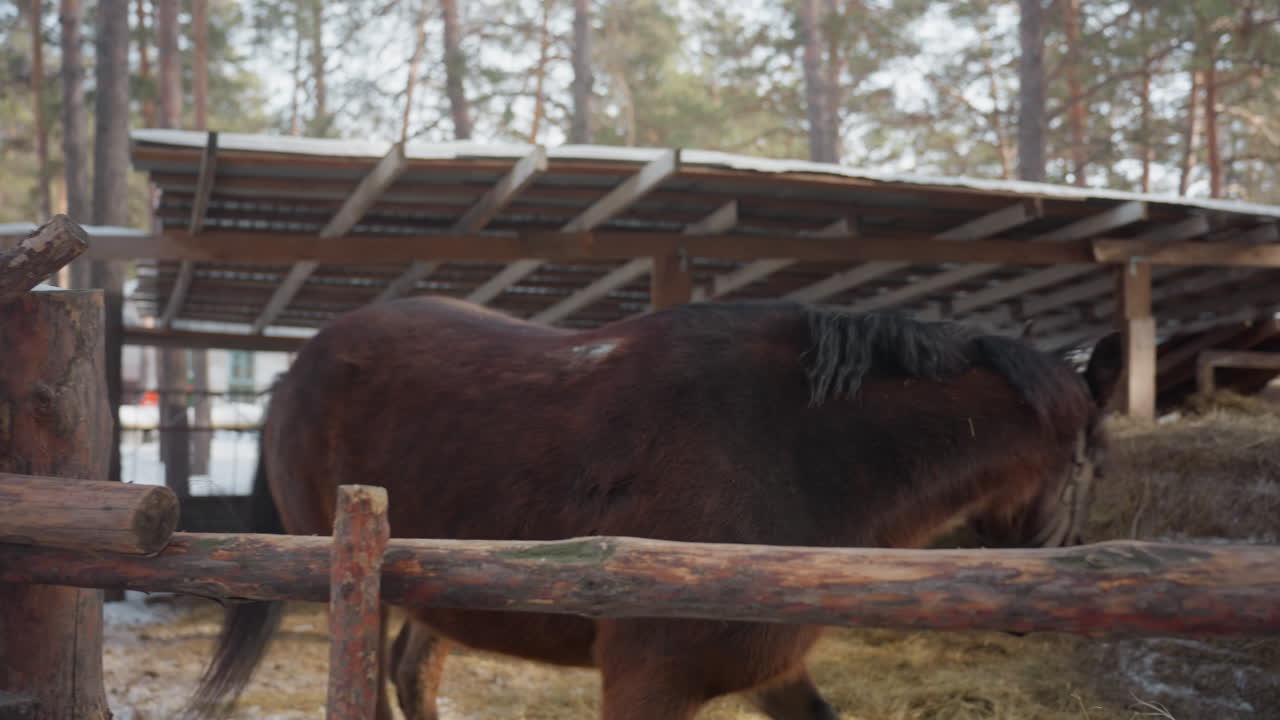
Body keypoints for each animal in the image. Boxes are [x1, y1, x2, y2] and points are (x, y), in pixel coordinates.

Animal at [185, 296, 1123, 720]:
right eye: (1103, 467)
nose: (1031, 619)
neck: (794, 448)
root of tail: (292, 374)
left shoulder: (768, 668)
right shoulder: (650, 679)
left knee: (413, 672)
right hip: (356, 588)